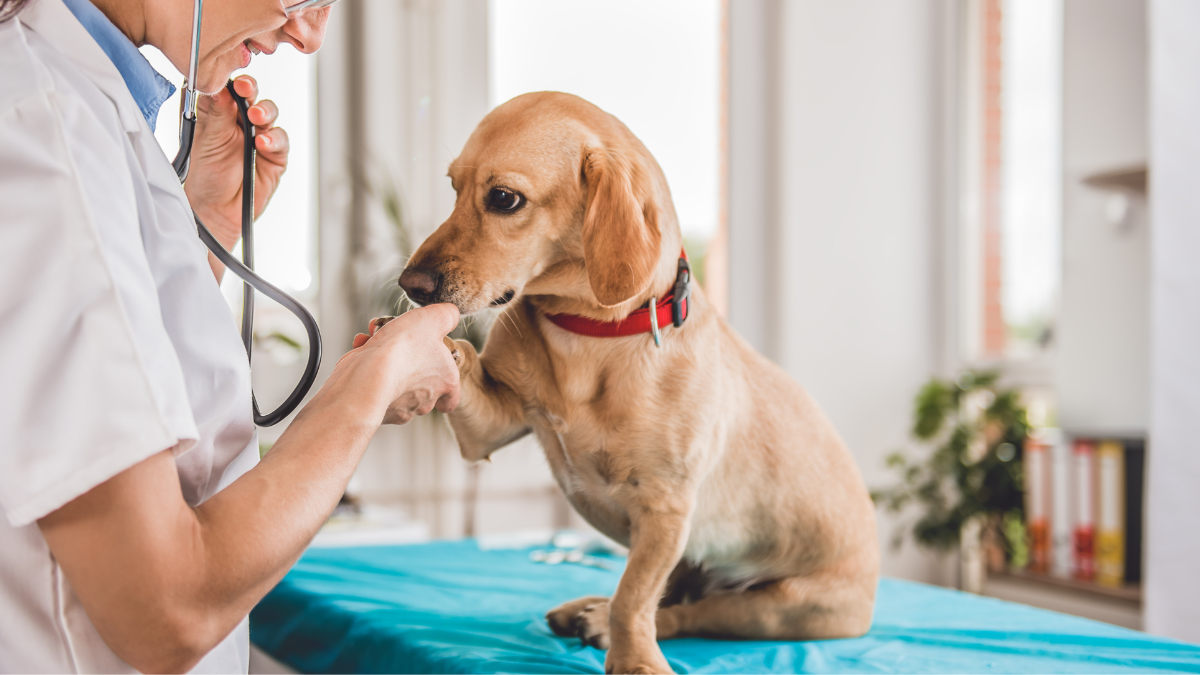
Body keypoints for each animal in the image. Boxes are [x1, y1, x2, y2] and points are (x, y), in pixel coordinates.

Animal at [398, 91, 878, 667]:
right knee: (670, 597)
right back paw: (587, 608)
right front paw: (419, 345)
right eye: (454, 187)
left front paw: (633, 661)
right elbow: (465, 363)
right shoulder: (489, 429)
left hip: (782, 607)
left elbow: (634, 599)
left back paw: (604, 621)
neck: (586, 333)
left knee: (688, 612)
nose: (409, 285)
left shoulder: (664, 510)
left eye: (504, 198)